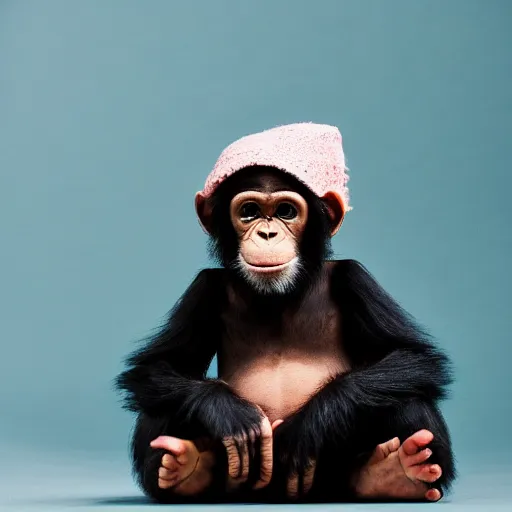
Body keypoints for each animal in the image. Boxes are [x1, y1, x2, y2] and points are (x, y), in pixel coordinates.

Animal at [116, 123, 456, 504]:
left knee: (411, 397)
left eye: (286, 212)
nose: (267, 233)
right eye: (249, 211)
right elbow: (157, 365)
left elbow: (413, 356)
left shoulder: (356, 279)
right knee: (158, 406)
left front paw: (305, 428)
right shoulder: (202, 289)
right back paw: (183, 469)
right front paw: (231, 415)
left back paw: (397, 473)